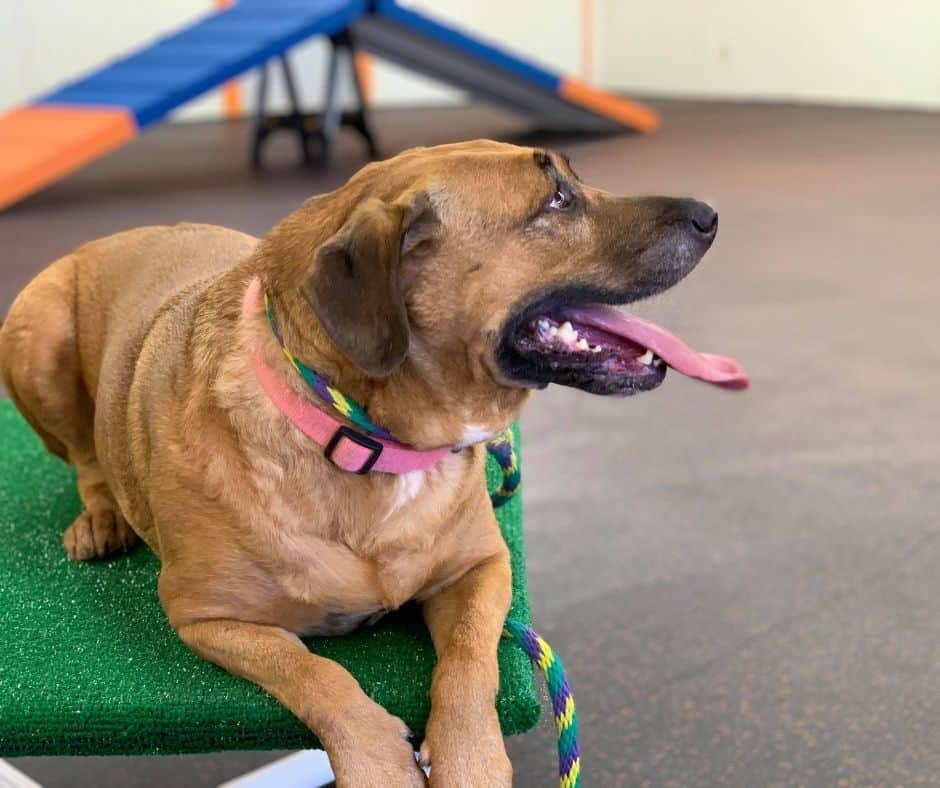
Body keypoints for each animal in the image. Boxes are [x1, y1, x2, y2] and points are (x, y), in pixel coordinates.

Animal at [0, 139, 740, 784]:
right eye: (556, 198)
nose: (709, 214)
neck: (367, 443)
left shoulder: (481, 568)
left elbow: (470, 663)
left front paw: (470, 758)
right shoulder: (205, 619)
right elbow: (315, 674)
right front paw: (377, 761)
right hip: (36, 332)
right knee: (86, 460)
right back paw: (100, 519)